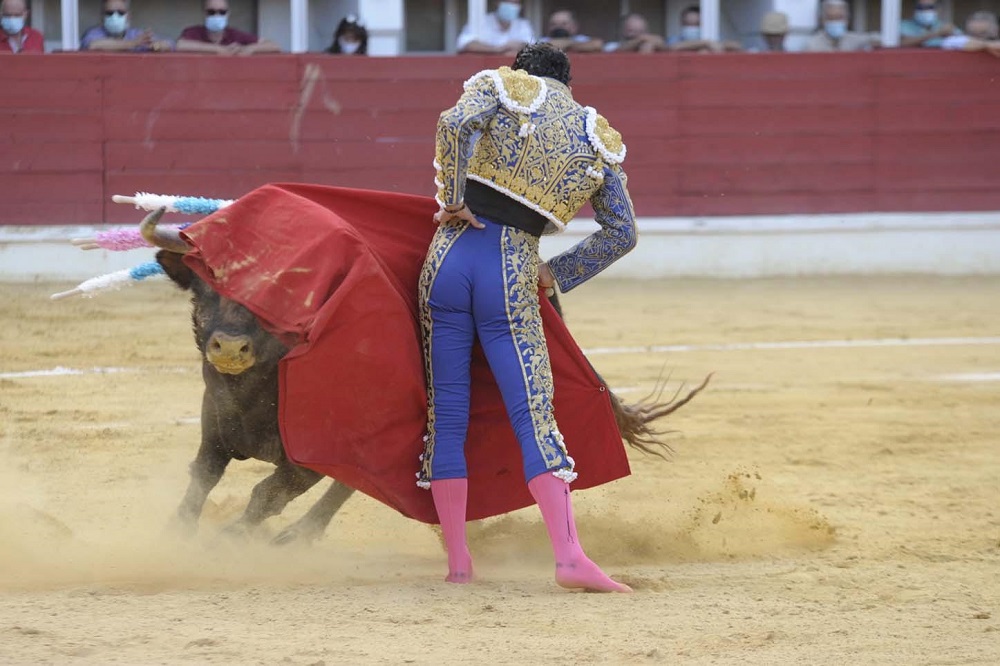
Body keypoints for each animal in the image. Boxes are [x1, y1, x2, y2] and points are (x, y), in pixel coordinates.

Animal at [141, 209, 708, 544]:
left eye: (276, 290)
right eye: (202, 288)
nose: (229, 347)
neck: (258, 388)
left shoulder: (316, 456)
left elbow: (267, 494)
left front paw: (229, 540)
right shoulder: (214, 432)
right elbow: (200, 481)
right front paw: (175, 535)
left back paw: (299, 537)